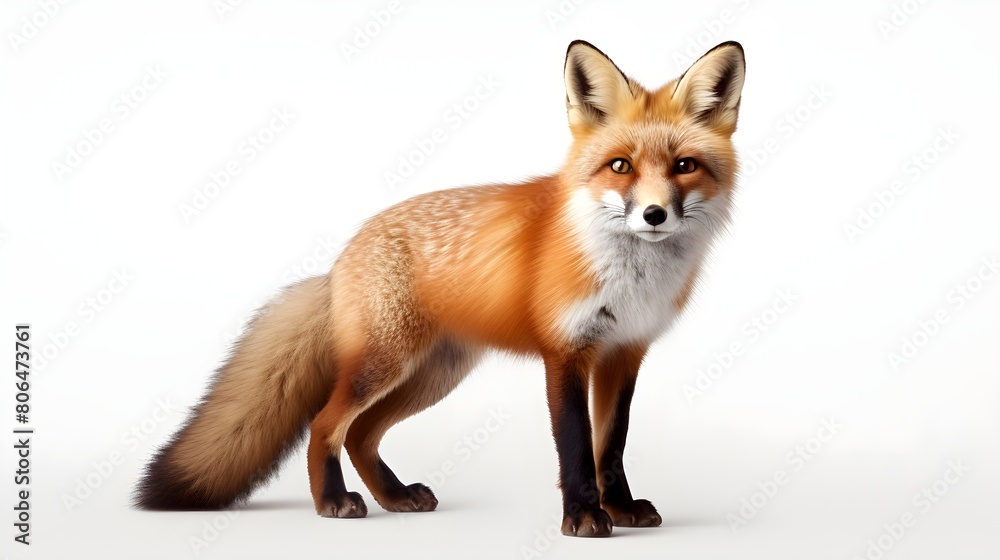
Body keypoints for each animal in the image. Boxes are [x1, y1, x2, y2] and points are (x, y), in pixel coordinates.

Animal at [136, 39, 746, 538]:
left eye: (684, 166)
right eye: (620, 166)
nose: (654, 214)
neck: (629, 278)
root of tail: (339, 260)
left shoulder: (623, 354)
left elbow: (610, 446)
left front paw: (618, 509)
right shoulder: (566, 353)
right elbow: (576, 447)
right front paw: (582, 516)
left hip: (433, 375)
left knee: (361, 435)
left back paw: (394, 496)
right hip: (385, 366)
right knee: (325, 426)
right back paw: (333, 501)